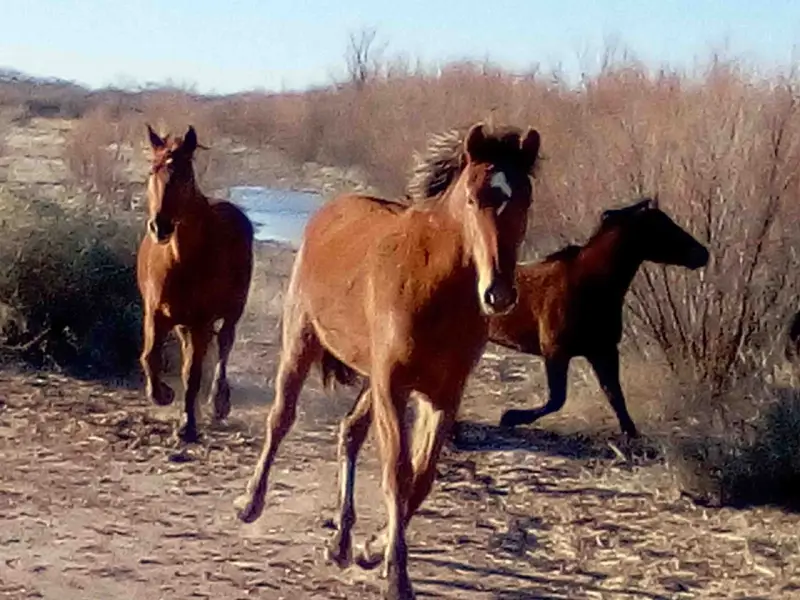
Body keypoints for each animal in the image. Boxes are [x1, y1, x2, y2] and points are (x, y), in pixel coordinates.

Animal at [137, 125, 254, 444]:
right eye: (152, 171)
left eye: (185, 175)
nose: (160, 226)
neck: (180, 260)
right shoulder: (156, 313)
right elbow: (150, 357)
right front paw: (163, 395)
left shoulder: (202, 320)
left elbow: (194, 373)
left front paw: (187, 426)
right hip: (182, 323)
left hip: (231, 312)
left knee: (224, 344)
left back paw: (218, 403)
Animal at [233, 122, 541, 600]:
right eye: (474, 198)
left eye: (525, 199)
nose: (499, 293)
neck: (434, 285)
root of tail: (332, 210)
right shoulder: (394, 386)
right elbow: (397, 473)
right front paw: (396, 576)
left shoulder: (442, 393)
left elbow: (421, 476)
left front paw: (370, 550)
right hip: (304, 341)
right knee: (281, 417)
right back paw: (250, 503)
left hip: (369, 378)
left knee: (350, 432)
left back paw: (340, 543)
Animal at [491, 196, 709, 438]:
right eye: (662, 227)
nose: (702, 254)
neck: (588, 283)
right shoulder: (556, 351)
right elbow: (557, 399)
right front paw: (509, 417)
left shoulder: (603, 350)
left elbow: (615, 395)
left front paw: (631, 433)